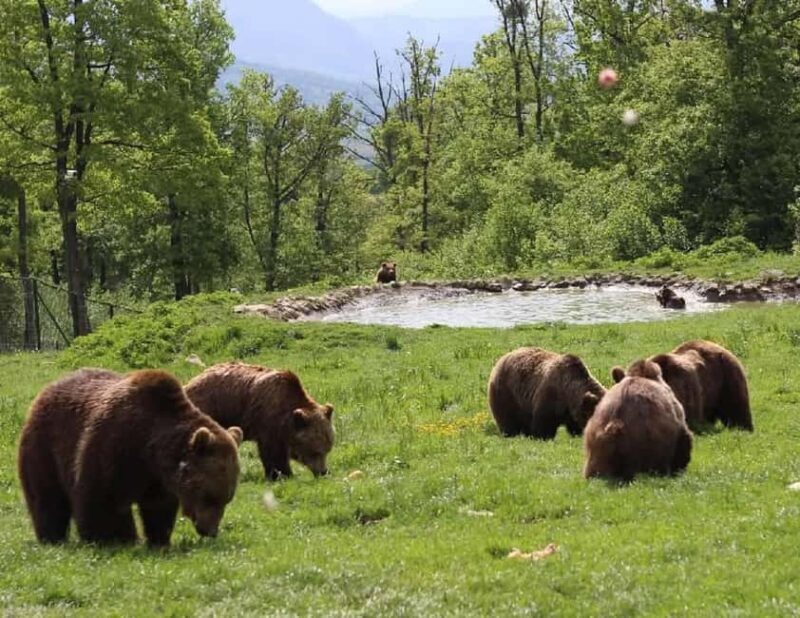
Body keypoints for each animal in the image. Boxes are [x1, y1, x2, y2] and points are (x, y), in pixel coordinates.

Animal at [17, 368, 243, 545]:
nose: (210, 531)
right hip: (44, 445)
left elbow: (158, 508)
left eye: (227, 498)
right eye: (209, 496)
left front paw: (158, 539)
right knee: (47, 496)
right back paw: (52, 537)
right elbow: (101, 499)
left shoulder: (158, 478)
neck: (150, 448)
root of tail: (47, 389)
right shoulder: (113, 446)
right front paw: (115, 538)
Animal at [185, 362, 334, 481]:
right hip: (209, 408)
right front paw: (281, 474)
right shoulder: (268, 419)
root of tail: (188, 384)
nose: (323, 472)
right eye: (315, 451)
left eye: (328, 449)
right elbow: (273, 452)